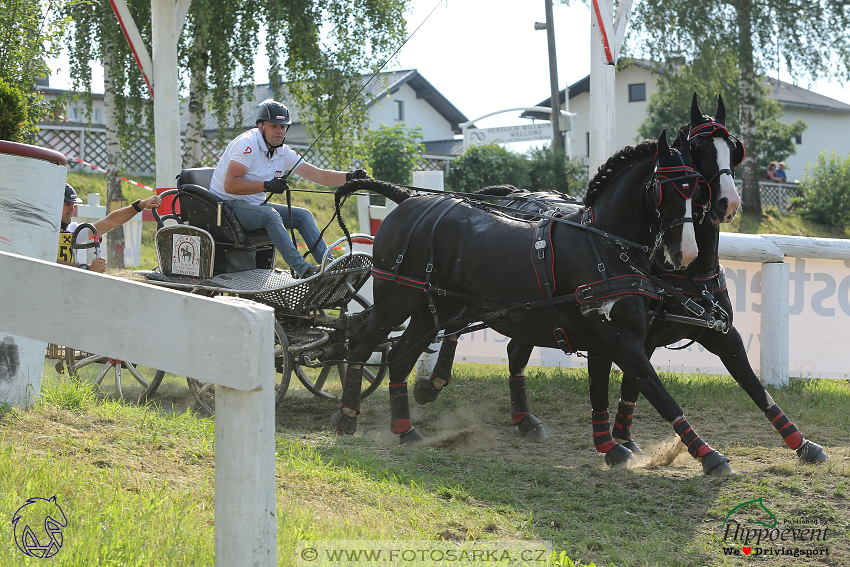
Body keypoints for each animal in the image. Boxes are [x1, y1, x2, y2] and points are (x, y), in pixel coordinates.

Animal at [328, 127, 732, 474]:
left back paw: (405, 428)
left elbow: (601, 394)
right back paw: (348, 414)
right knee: (362, 342)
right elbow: (661, 396)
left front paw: (610, 447)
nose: (685, 253)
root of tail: (410, 200)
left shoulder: (606, 342)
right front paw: (707, 454)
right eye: (669, 189)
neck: (603, 243)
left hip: (433, 311)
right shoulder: (622, 341)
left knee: (400, 357)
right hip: (397, 300)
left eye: (696, 190)